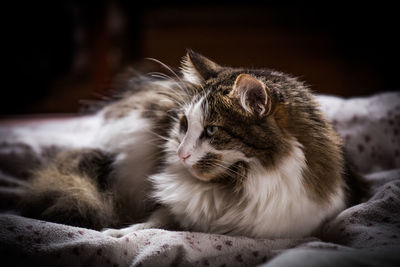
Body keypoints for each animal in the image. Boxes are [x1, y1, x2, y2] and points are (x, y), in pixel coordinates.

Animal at [18, 49, 360, 239]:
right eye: (183, 125)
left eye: (212, 130)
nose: (181, 154)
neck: (235, 186)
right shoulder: (170, 208)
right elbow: (153, 223)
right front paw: (117, 233)